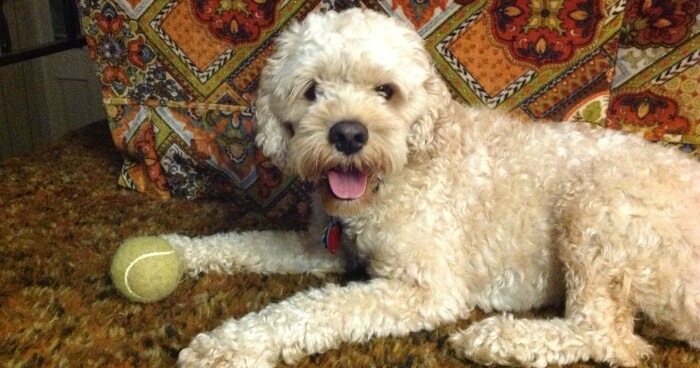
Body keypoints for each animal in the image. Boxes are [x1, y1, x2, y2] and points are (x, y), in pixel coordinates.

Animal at [170, 8, 700, 368]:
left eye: (386, 91)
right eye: (312, 90)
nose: (348, 134)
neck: (394, 175)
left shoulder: (425, 289)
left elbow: (315, 309)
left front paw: (228, 345)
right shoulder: (320, 247)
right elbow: (243, 244)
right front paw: (179, 252)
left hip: (596, 214)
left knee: (610, 337)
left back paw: (500, 340)